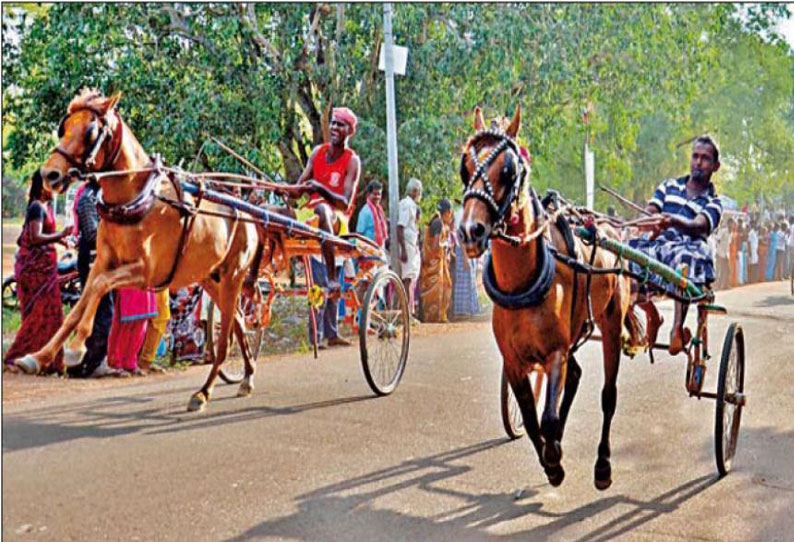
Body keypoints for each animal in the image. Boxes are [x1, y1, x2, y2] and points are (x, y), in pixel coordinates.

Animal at [20, 89, 260, 412]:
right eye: (64, 127)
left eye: (91, 131)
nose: (50, 174)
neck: (135, 198)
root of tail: (250, 214)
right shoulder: (102, 261)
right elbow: (83, 298)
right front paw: (41, 355)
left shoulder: (145, 272)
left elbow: (100, 286)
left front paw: (75, 348)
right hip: (211, 277)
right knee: (239, 324)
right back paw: (247, 377)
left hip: (234, 276)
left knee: (224, 341)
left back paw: (203, 392)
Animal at [454, 105, 628, 488]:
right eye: (464, 167)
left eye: (508, 170)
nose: (470, 231)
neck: (522, 283)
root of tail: (606, 226)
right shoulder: (514, 361)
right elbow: (533, 420)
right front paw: (551, 458)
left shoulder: (555, 351)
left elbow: (547, 417)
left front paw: (556, 460)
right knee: (575, 377)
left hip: (610, 322)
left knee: (608, 395)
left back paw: (603, 464)